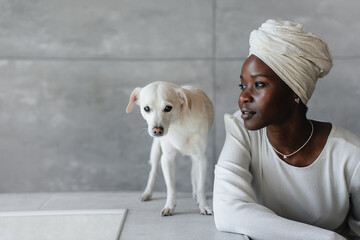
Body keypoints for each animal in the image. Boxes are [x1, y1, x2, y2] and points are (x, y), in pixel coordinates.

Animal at [126, 81, 214, 217]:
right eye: (146, 108)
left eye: (168, 108)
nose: (157, 130)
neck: (179, 123)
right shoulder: (167, 159)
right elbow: (171, 187)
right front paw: (169, 206)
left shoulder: (201, 158)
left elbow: (200, 187)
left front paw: (204, 205)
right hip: (156, 150)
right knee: (153, 171)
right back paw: (147, 193)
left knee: (193, 172)